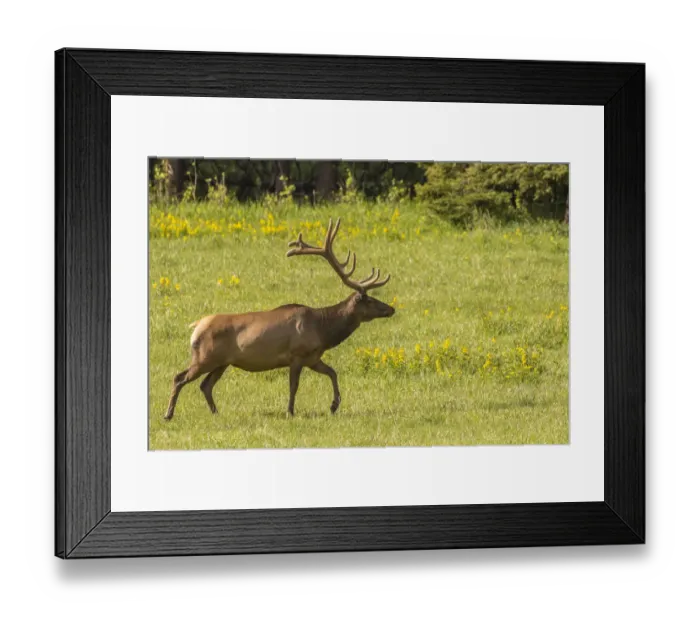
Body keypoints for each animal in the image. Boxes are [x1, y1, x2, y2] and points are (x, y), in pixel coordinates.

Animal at [164, 218, 395, 420]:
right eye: (370, 300)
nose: (391, 309)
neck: (323, 331)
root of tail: (196, 326)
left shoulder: (313, 358)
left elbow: (332, 372)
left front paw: (334, 405)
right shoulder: (297, 354)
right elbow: (294, 386)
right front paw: (290, 411)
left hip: (222, 362)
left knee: (205, 385)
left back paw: (215, 412)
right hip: (205, 357)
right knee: (179, 377)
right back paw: (168, 414)